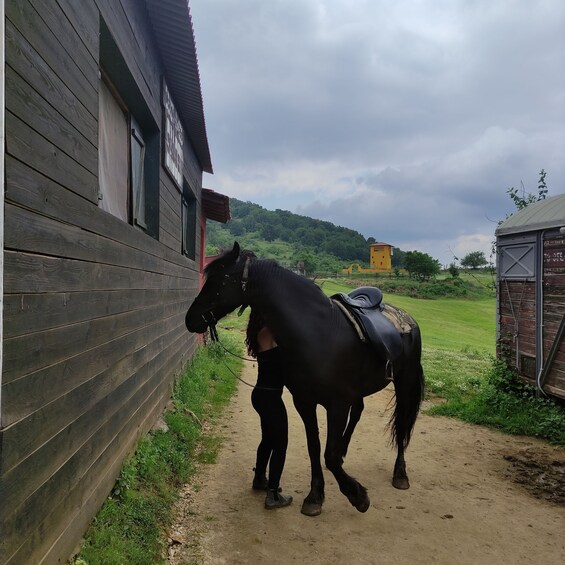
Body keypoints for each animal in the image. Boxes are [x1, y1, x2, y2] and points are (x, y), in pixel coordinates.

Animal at [185, 242, 424, 516]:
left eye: (221, 279)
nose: (190, 318)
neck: (317, 333)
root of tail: (407, 319)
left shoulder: (337, 405)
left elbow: (328, 454)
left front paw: (357, 496)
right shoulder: (305, 402)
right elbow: (315, 448)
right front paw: (315, 496)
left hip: (404, 383)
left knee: (402, 423)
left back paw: (400, 474)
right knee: (359, 412)